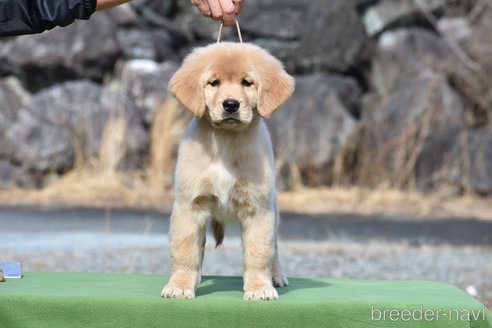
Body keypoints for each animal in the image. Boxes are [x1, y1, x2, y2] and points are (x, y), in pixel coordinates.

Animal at [161, 42, 294, 302]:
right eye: (214, 83)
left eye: (247, 82)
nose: (231, 105)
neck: (225, 141)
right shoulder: (189, 205)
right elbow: (185, 250)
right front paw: (180, 285)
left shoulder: (258, 209)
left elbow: (259, 253)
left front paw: (259, 288)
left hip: (273, 208)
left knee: (274, 247)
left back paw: (276, 276)